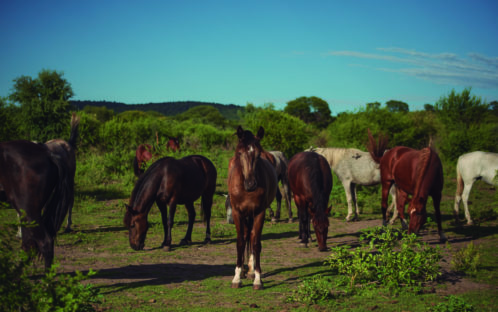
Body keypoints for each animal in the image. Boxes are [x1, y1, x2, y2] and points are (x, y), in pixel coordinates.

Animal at [229, 125, 278, 290]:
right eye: (240, 153)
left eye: (257, 155)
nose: (251, 184)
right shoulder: (237, 213)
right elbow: (240, 242)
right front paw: (237, 278)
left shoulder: (259, 213)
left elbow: (256, 243)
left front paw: (257, 279)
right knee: (246, 236)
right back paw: (244, 271)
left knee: (251, 236)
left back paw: (250, 271)